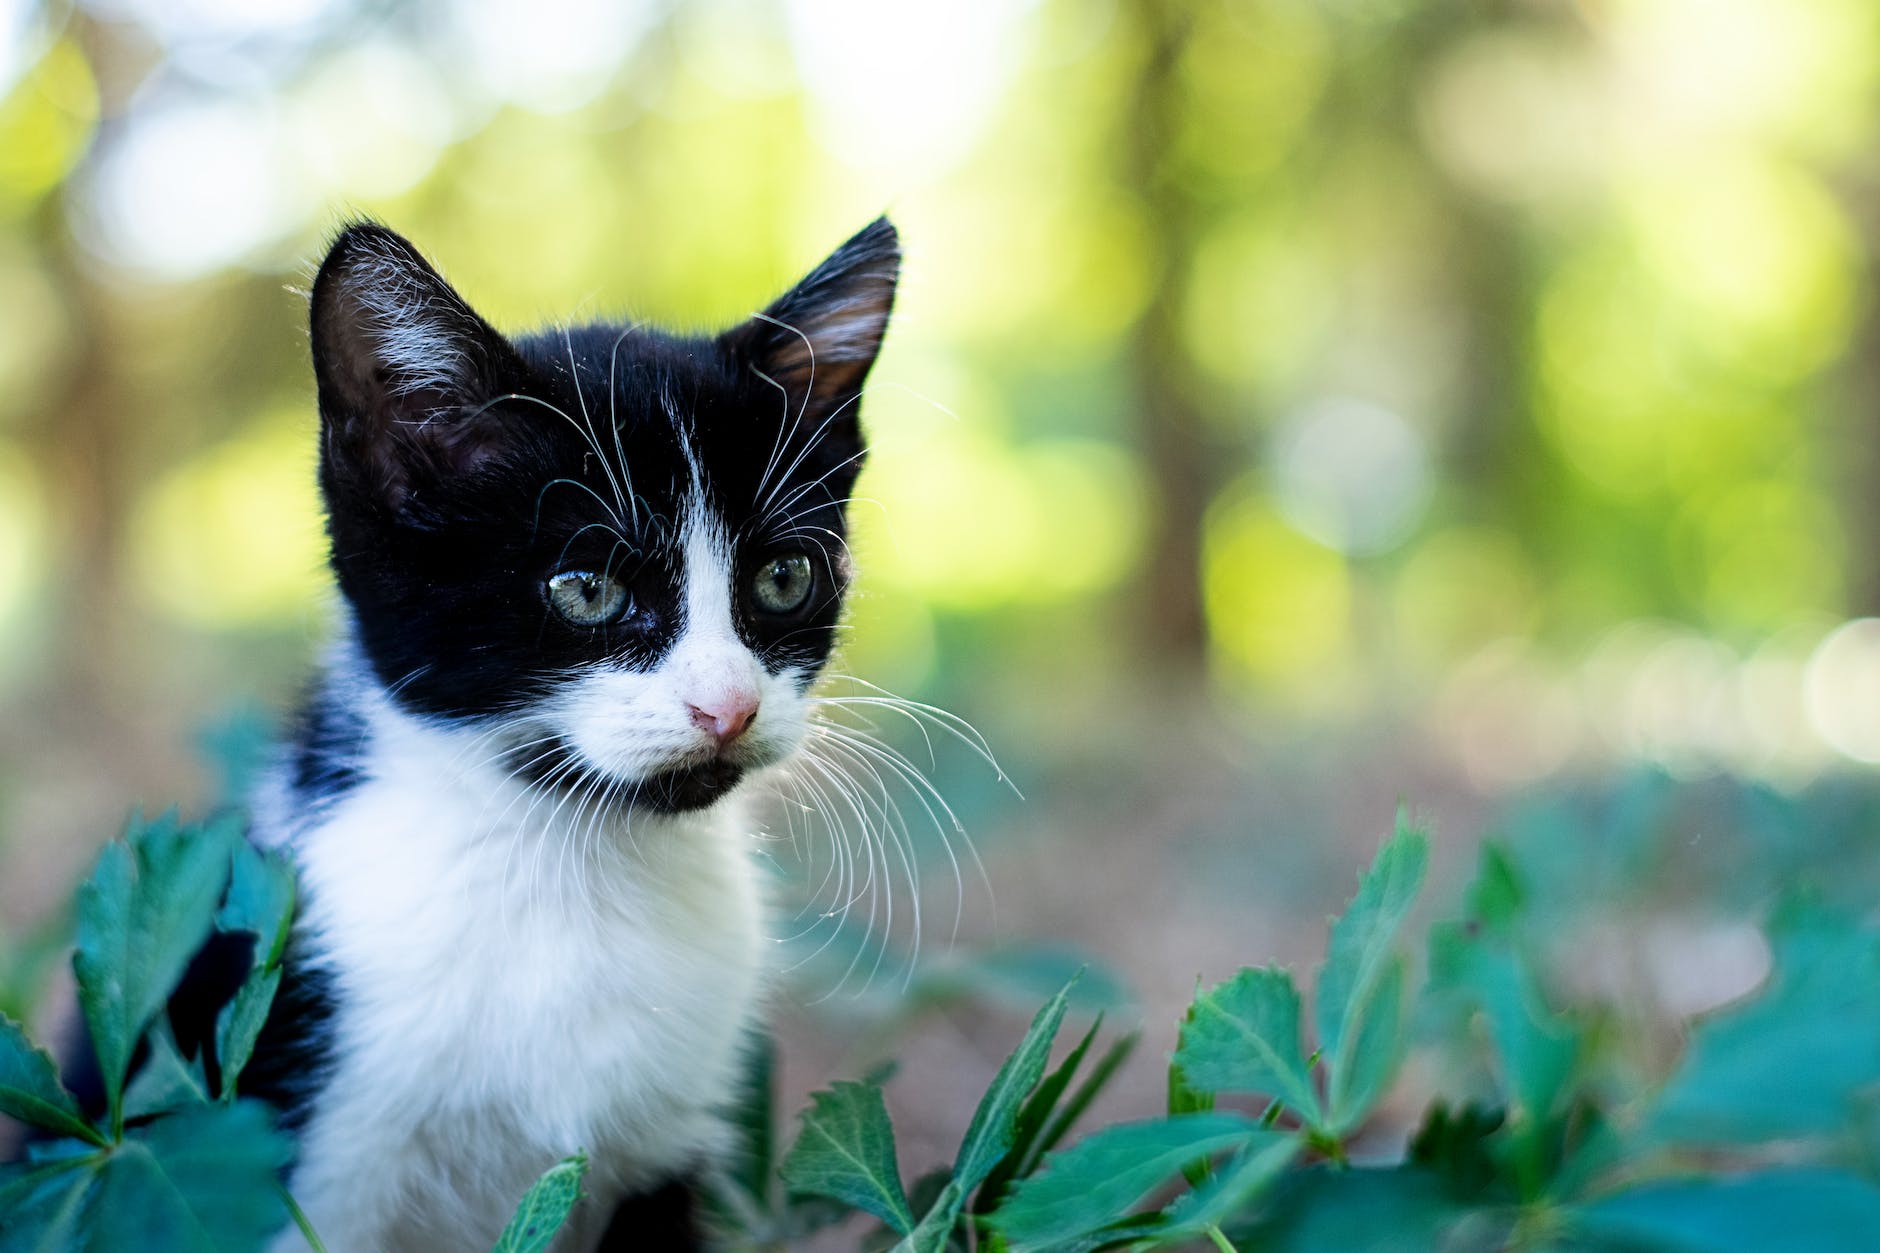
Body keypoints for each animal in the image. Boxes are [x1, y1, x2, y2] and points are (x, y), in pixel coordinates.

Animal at [207, 217, 894, 1249]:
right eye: (586, 589)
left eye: (784, 577)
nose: (728, 706)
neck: (573, 861)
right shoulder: (315, 1153)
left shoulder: (667, 1151)